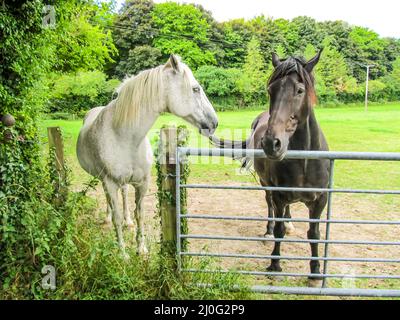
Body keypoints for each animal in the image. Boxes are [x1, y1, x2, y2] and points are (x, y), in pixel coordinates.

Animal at [76, 55, 217, 258]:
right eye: (195, 88)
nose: (214, 122)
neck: (124, 136)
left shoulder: (142, 183)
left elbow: (139, 213)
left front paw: (141, 248)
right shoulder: (110, 182)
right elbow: (117, 217)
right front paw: (123, 254)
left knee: (124, 194)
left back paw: (127, 221)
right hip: (103, 180)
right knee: (110, 202)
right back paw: (107, 218)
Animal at [211, 50, 330, 288]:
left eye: (300, 90)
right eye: (270, 90)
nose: (270, 143)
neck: (305, 161)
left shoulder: (320, 199)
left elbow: (314, 233)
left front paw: (314, 272)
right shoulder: (279, 195)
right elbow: (278, 230)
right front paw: (275, 265)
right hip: (266, 185)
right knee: (270, 208)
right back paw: (267, 231)